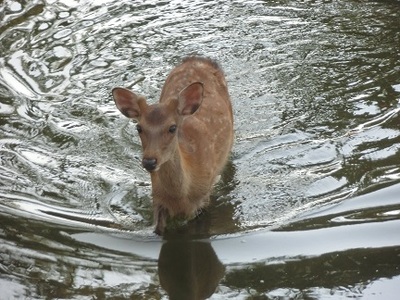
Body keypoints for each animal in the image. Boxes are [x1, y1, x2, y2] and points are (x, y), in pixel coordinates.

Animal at [111, 56, 233, 234]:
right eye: (139, 127)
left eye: (172, 128)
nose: (149, 161)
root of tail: (198, 59)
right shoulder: (158, 200)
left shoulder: (203, 199)